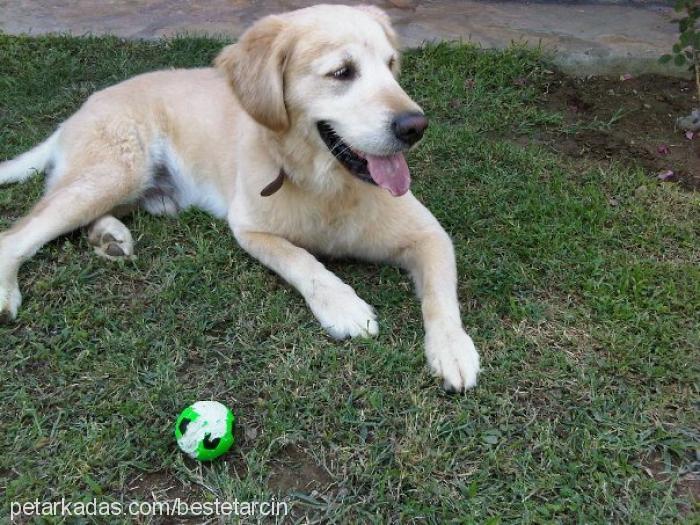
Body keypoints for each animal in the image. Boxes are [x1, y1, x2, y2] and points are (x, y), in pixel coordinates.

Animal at [0, 3, 482, 388]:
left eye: (391, 64)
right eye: (342, 72)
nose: (415, 126)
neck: (325, 185)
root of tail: (77, 112)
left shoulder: (429, 234)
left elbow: (442, 297)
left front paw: (453, 349)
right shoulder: (250, 228)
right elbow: (302, 261)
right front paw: (343, 305)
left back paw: (109, 237)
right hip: (115, 172)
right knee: (18, 233)